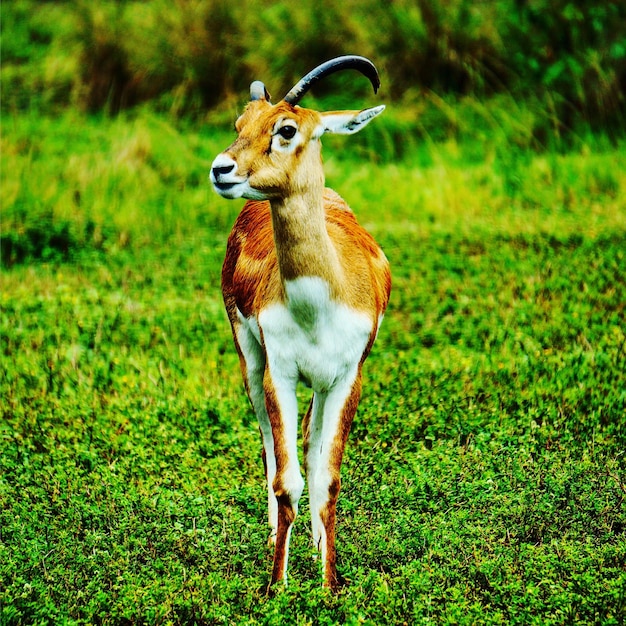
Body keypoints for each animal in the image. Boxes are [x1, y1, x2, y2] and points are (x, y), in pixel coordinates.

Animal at [210, 56, 390, 588]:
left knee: (309, 444)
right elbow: (286, 478)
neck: (317, 306)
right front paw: (277, 586)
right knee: (271, 446)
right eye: (240, 125)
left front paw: (329, 584)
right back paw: (277, 536)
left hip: (320, 385)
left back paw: (312, 544)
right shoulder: (281, 374)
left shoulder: (348, 377)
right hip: (250, 362)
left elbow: (327, 477)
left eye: (286, 129)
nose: (221, 169)